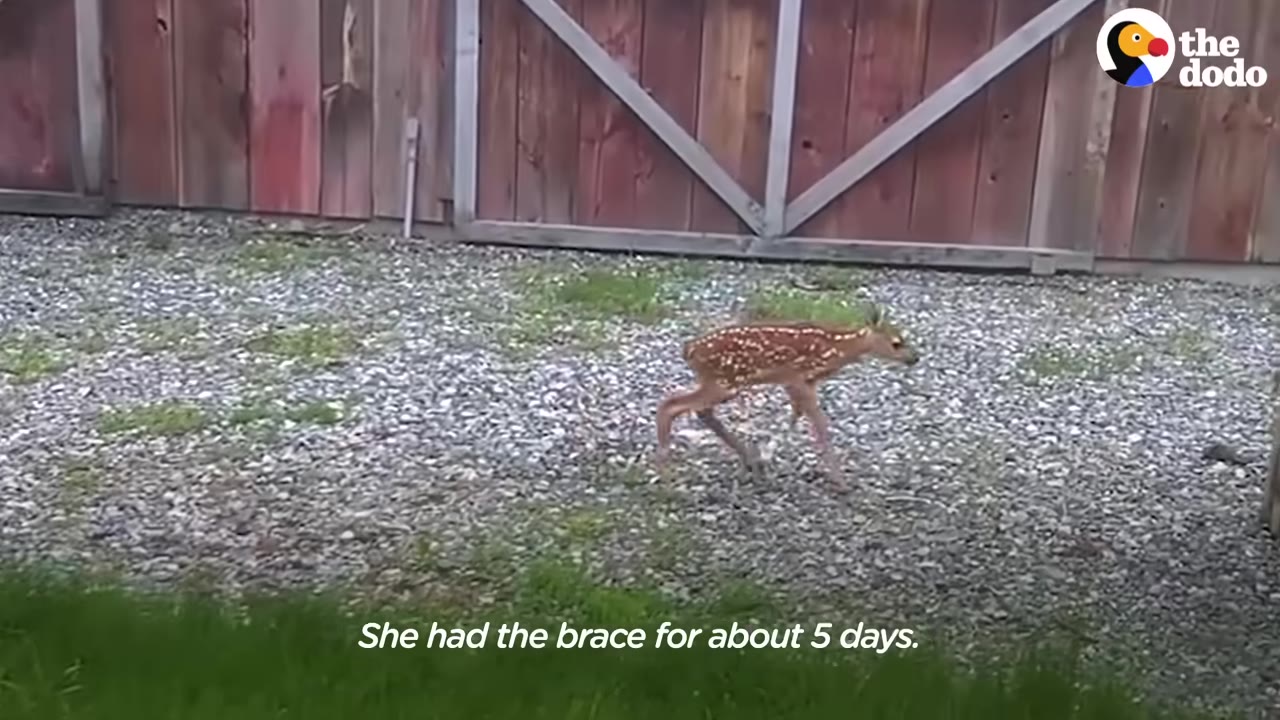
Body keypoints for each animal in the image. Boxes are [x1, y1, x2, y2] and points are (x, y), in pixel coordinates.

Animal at [654, 304, 919, 491]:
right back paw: (666, 472)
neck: (835, 350)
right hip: (723, 381)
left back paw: (749, 461)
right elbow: (820, 424)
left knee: (698, 410)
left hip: (719, 382)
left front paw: (768, 455)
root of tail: (689, 350)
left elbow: (796, 414)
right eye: (897, 343)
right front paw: (841, 483)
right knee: (671, 404)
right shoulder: (797, 378)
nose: (914, 358)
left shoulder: (799, 383)